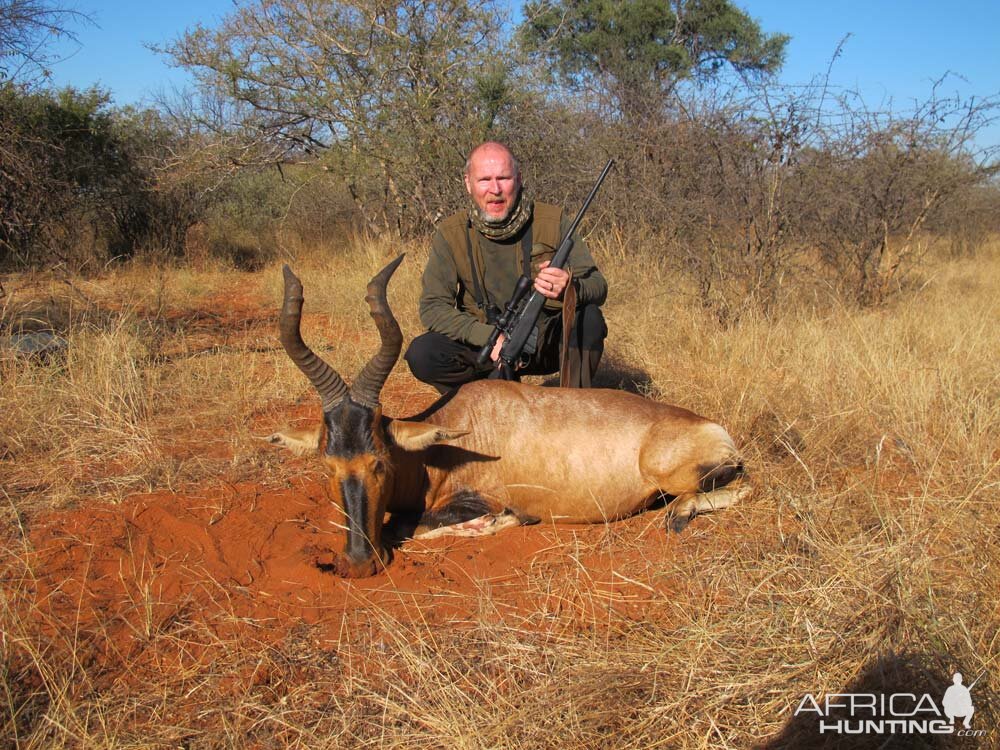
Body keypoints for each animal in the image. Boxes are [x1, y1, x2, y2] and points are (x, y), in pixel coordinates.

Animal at [270, 258, 748, 580]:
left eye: (380, 463)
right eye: (327, 464)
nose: (358, 564)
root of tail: (714, 429)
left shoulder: (476, 497)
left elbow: (411, 525)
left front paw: (503, 521)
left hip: (679, 474)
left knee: (738, 486)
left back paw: (678, 516)